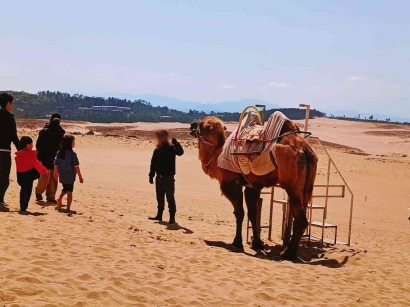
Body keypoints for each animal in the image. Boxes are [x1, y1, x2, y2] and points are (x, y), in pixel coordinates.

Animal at [189, 115, 318, 260]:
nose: (191, 125)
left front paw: (237, 242)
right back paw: (290, 251)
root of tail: (304, 150)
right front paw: (257, 243)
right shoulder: (253, 186)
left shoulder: (231, 184)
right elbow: (253, 214)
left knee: (301, 219)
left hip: (291, 184)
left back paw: (288, 253)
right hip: (307, 186)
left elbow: (239, 213)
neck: (218, 156)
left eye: (201, 125)